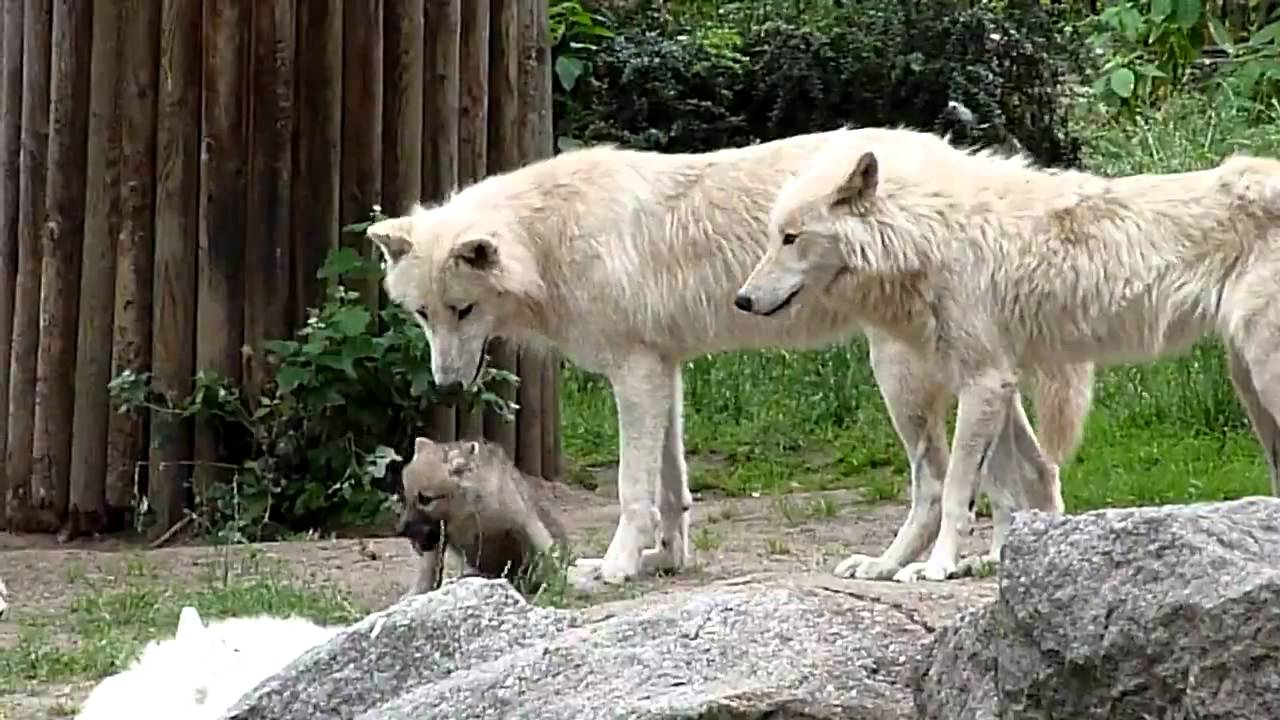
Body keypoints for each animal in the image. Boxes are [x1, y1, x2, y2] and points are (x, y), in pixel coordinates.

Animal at [397, 436, 570, 595]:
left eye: (425, 499)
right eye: (407, 496)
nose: (402, 530)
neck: (468, 513)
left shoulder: (525, 525)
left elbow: (544, 556)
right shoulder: (438, 540)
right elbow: (429, 569)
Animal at [736, 125, 1280, 583]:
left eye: (791, 238)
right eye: (774, 236)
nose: (742, 300)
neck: (929, 236)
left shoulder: (983, 381)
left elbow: (956, 490)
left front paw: (935, 568)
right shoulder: (992, 380)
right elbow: (999, 485)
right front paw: (894, 564)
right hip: (1248, 387)